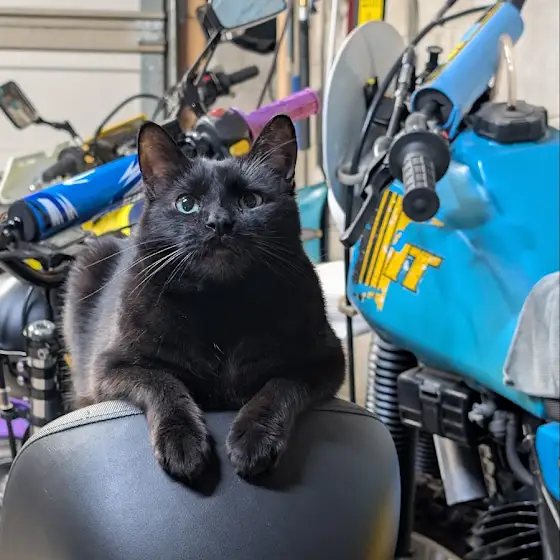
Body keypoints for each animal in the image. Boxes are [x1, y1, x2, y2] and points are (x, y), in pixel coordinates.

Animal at [63, 115, 346, 481]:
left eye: (251, 201)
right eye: (186, 204)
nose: (219, 222)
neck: (220, 303)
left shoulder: (326, 359)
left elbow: (281, 384)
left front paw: (254, 439)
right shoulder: (113, 367)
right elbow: (162, 383)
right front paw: (182, 443)